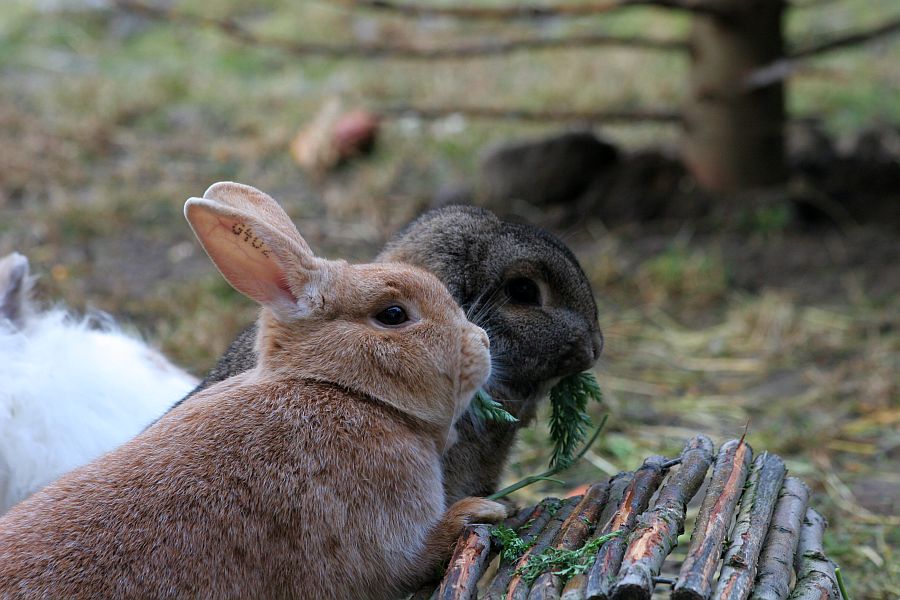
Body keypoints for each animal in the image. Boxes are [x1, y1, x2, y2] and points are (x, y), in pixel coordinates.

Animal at [0, 183, 506, 600]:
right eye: (394, 315)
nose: (481, 344)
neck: (343, 390)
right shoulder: (381, 537)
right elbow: (411, 558)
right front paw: (480, 512)